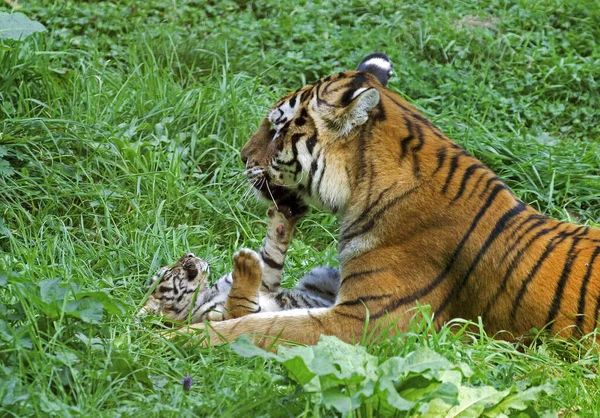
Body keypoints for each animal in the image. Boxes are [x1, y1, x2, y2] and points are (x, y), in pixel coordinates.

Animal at [185, 52, 600, 346]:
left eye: (276, 127)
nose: (241, 156)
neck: (363, 189)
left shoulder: (363, 321)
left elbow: (256, 327)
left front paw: (177, 338)